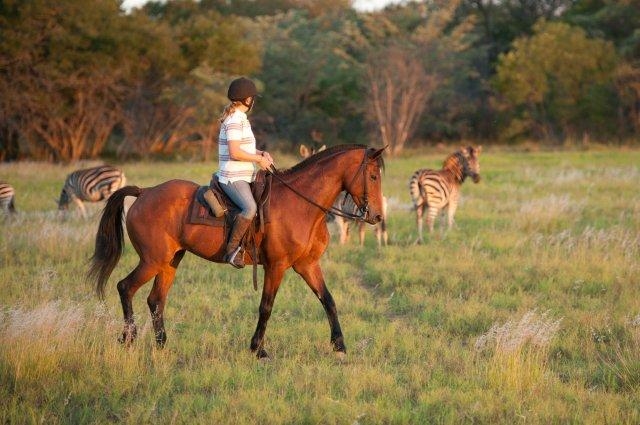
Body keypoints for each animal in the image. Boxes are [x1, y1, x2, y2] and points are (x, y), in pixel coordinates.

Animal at [88, 144, 386, 359]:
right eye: (372, 176)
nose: (377, 216)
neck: (301, 203)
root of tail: (144, 192)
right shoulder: (276, 266)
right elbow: (266, 307)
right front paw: (258, 349)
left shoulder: (308, 265)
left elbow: (328, 300)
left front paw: (340, 345)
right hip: (152, 261)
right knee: (125, 287)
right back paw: (128, 337)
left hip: (170, 262)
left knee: (155, 300)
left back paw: (161, 344)